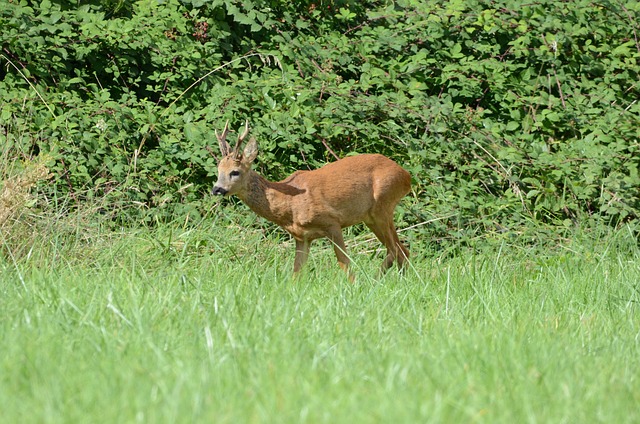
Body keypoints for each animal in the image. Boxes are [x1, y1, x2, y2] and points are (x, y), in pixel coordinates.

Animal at [210, 120, 410, 278]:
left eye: (235, 172)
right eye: (218, 170)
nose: (216, 189)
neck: (289, 205)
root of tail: (406, 176)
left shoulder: (332, 223)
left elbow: (344, 264)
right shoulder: (302, 237)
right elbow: (296, 273)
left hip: (382, 207)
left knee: (395, 250)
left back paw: (375, 280)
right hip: (372, 217)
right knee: (402, 250)